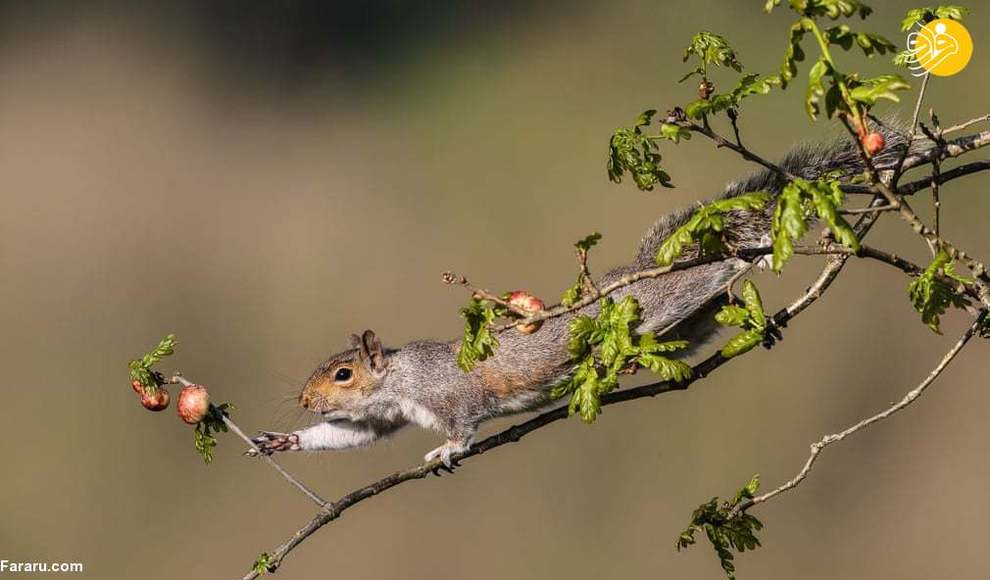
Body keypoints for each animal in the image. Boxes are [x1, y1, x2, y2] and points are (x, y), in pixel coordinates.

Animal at [252, 125, 920, 466]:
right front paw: (284, 439)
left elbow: (463, 425)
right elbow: (354, 435)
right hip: (684, 329)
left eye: (342, 374)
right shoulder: (385, 415)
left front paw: (443, 450)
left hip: (668, 304)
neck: (401, 377)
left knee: (709, 278)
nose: (305, 401)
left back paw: (739, 261)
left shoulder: (449, 396)